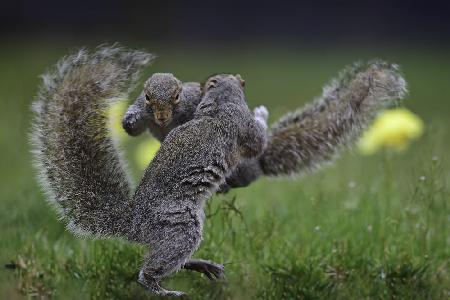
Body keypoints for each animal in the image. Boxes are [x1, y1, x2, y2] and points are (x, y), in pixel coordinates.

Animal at [30, 45, 268, 296]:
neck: (220, 104)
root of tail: (134, 224)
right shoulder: (244, 127)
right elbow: (259, 141)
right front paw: (262, 114)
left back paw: (201, 265)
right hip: (181, 226)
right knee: (150, 270)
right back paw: (163, 290)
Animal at [122, 60, 408, 191]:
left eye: (177, 96)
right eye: (147, 96)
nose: (161, 117)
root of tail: (259, 162)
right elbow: (136, 126)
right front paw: (129, 120)